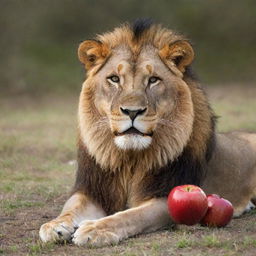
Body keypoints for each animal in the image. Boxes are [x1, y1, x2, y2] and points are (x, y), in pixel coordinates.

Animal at [39, 19, 256, 247]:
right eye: (114, 79)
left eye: (153, 80)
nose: (132, 111)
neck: (129, 159)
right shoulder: (93, 190)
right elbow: (71, 207)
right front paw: (54, 225)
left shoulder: (165, 197)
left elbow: (130, 215)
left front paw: (95, 229)